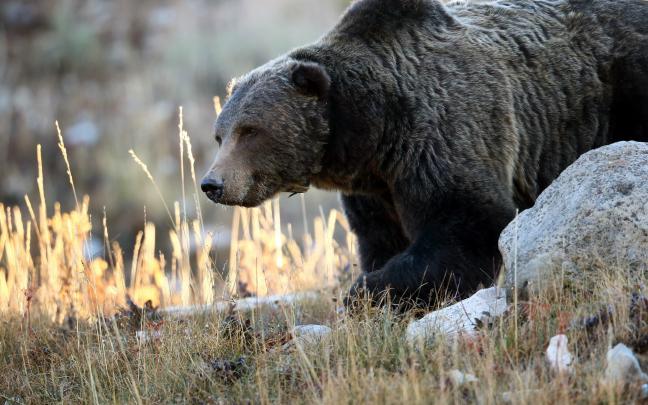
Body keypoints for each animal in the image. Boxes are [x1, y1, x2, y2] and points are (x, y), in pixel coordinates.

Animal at [201, 0, 648, 307]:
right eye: (220, 134)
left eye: (251, 131)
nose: (212, 183)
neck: (375, 131)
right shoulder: (375, 189)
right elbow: (381, 240)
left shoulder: (443, 131)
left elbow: (468, 225)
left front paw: (365, 293)